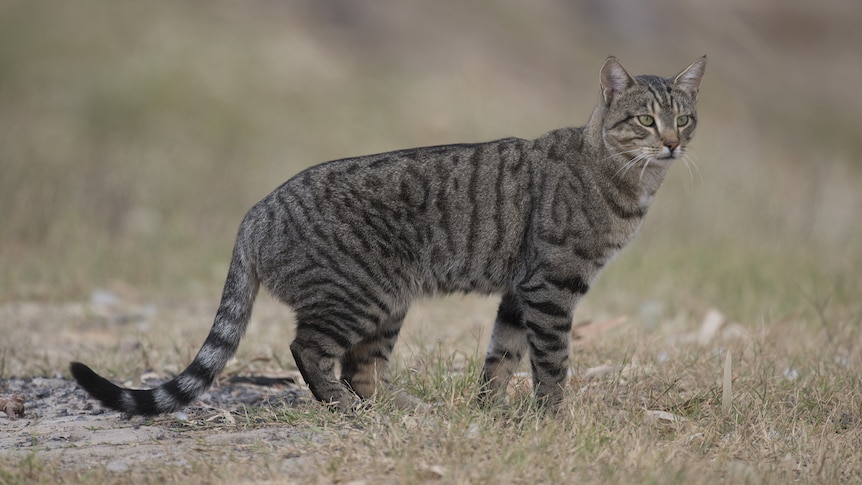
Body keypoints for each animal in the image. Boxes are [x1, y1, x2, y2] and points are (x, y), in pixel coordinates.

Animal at [72, 54, 708, 414]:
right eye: (645, 120)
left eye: (685, 118)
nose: (673, 143)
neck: (629, 180)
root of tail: (255, 212)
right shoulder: (551, 286)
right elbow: (551, 365)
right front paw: (554, 420)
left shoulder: (519, 291)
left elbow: (500, 357)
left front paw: (489, 414)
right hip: (363, 294)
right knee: (311, 351)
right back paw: (342, 409)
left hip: (388, 304)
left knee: (362, 369)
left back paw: (407, 409)